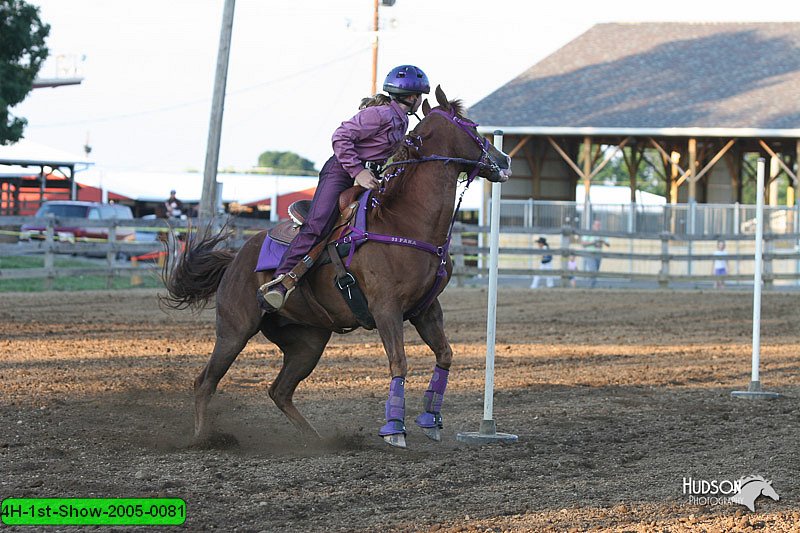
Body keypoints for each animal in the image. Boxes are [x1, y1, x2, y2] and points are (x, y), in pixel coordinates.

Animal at [163, 85, 512, 446]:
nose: (504, 160)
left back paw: (316, 441)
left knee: (279, 391)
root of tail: (235, 260)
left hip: (309, 341)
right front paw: (394, 429)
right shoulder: (386, 308)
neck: (405, 221)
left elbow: (445, 354)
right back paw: (202, 438)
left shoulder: (425, 309)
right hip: (235, 329)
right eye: (471, 126)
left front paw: (431, 419)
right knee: (205, 382)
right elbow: (399, 363)